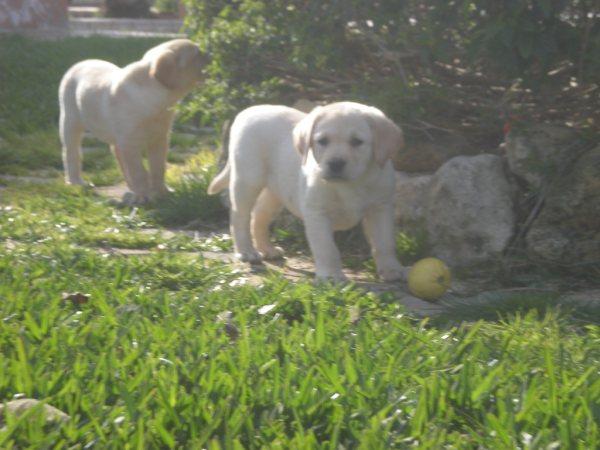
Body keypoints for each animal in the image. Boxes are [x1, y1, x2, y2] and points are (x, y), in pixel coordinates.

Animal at [58, 38, 207, 204]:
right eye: (197, 54)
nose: (210, 54)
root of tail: (80, 63)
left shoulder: (159, 139)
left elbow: (158, 168)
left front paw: (162, 192)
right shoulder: (130, 144)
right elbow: (139, 172)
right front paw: (143, 196)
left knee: (117, 154)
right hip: (70, 121)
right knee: (71, 153)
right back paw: (76, 183)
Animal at [207, 103, 408, 284]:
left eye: (357, 142)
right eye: (323, 141)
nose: (335, 163)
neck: (350, 185)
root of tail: (248, 111)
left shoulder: (380, 208)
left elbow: (384, 242)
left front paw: (391, 269)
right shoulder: (317, 213)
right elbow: (327, 248)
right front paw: (331, 276)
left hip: (276, 192)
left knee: (259, 216)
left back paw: (267, 249)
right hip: (248, 180)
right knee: (239, 216)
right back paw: (246, 251)